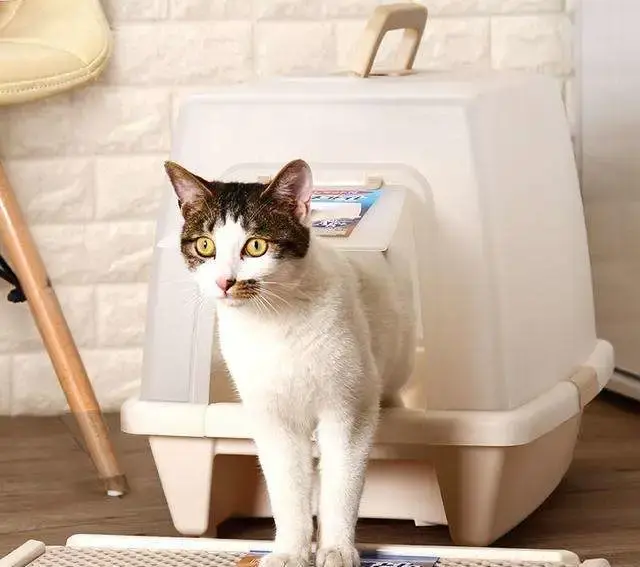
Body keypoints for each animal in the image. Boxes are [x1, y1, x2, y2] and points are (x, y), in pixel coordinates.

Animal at [165, 158, 416, 567]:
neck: (275, 325)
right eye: (205, 245)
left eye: (256, 246)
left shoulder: (349, 408)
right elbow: (287, 488)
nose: (224, 282)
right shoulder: (271, 416)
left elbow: (341, 484)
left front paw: (336, 549)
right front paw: (289, 552)